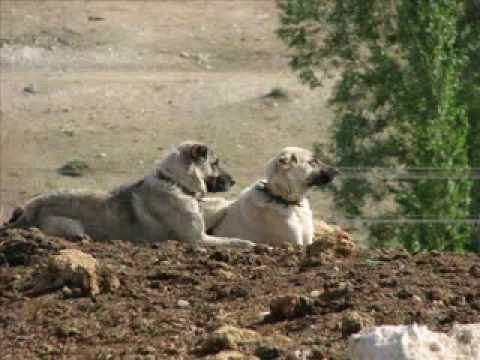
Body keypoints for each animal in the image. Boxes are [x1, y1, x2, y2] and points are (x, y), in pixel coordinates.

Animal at [2, 142, 255, 249]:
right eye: (216, 163)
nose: (234, 181)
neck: (175, 182)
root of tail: (27, 209)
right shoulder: (197, 239)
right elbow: (235, 241)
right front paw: (251, 244)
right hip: (70, 226)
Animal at [202, 148, 338, 246]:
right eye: (312, 161)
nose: (336, 171)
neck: (283, 199)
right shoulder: (294, 244)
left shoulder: (308, 241)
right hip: (220, 203)